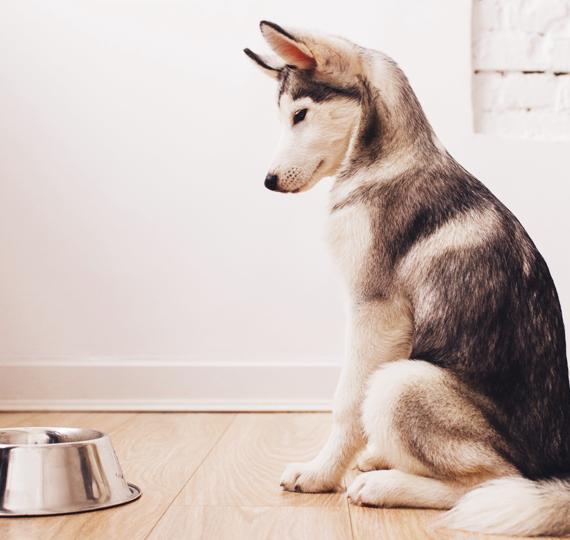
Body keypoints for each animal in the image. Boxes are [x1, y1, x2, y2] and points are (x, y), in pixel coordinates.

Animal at [243, 21, 568, 536]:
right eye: (284, 118)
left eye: (300, 115)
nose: (268, 181)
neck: (382, 162)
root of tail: (559, 470)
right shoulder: (393, 327)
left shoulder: (375, 310)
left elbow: (346, 403)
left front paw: (319, 474)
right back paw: (381, 461)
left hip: (402, 383)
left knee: (492, 482)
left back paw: (384, 484)